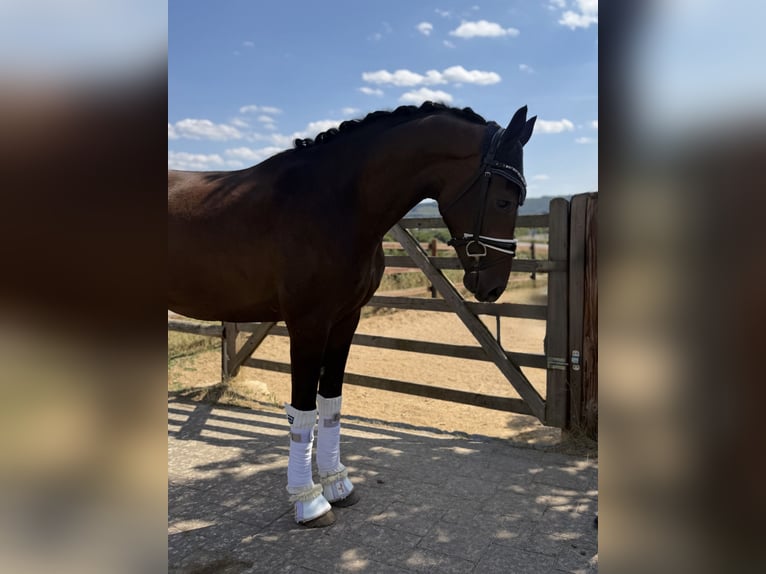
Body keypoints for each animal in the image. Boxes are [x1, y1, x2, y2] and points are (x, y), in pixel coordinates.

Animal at [168, 101, 536, 527]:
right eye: (504, 200)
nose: (494, 287)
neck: (337, 202)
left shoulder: (346, 320)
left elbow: (331, 403)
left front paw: (337, 485)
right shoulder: (308, 324)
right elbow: (304, 411)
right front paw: (309, 502)